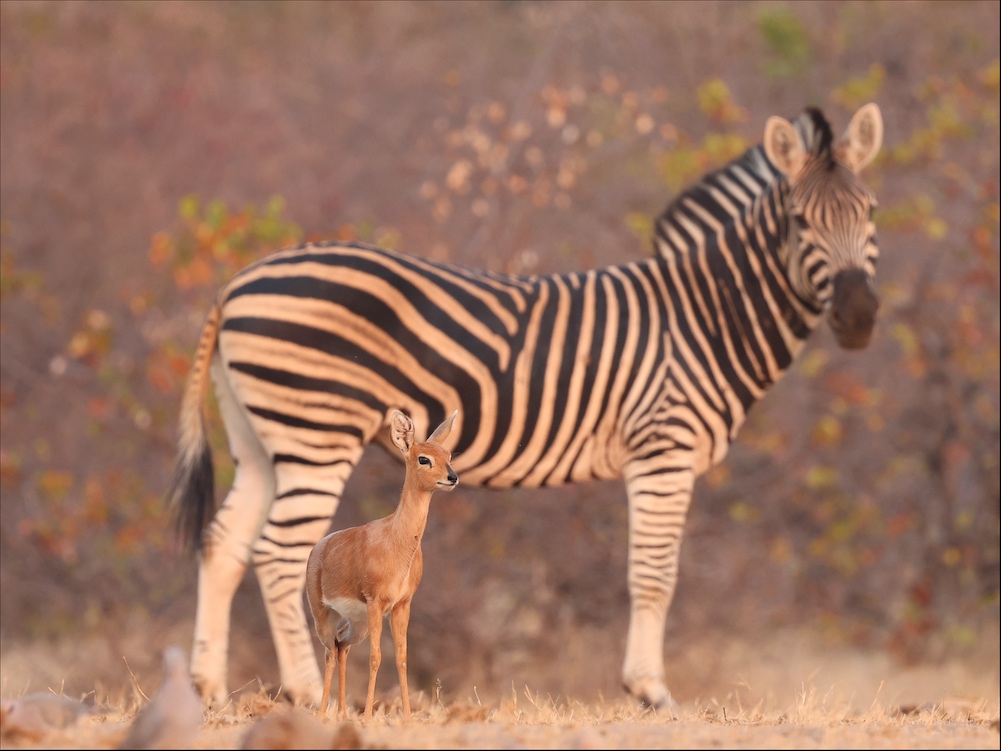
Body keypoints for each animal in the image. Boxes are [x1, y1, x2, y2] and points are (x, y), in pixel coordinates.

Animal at [168, 103, 884, 711]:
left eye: (871, 211)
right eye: (801, 222)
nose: (858, 316)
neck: (703, 318)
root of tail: (236, 283)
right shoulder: (663, 448)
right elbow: (655, 574)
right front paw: (650, 690)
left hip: (262, 441)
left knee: (223, 542)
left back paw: (207, 690)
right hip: (316, 430)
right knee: (280, 552)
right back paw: (305, 691)